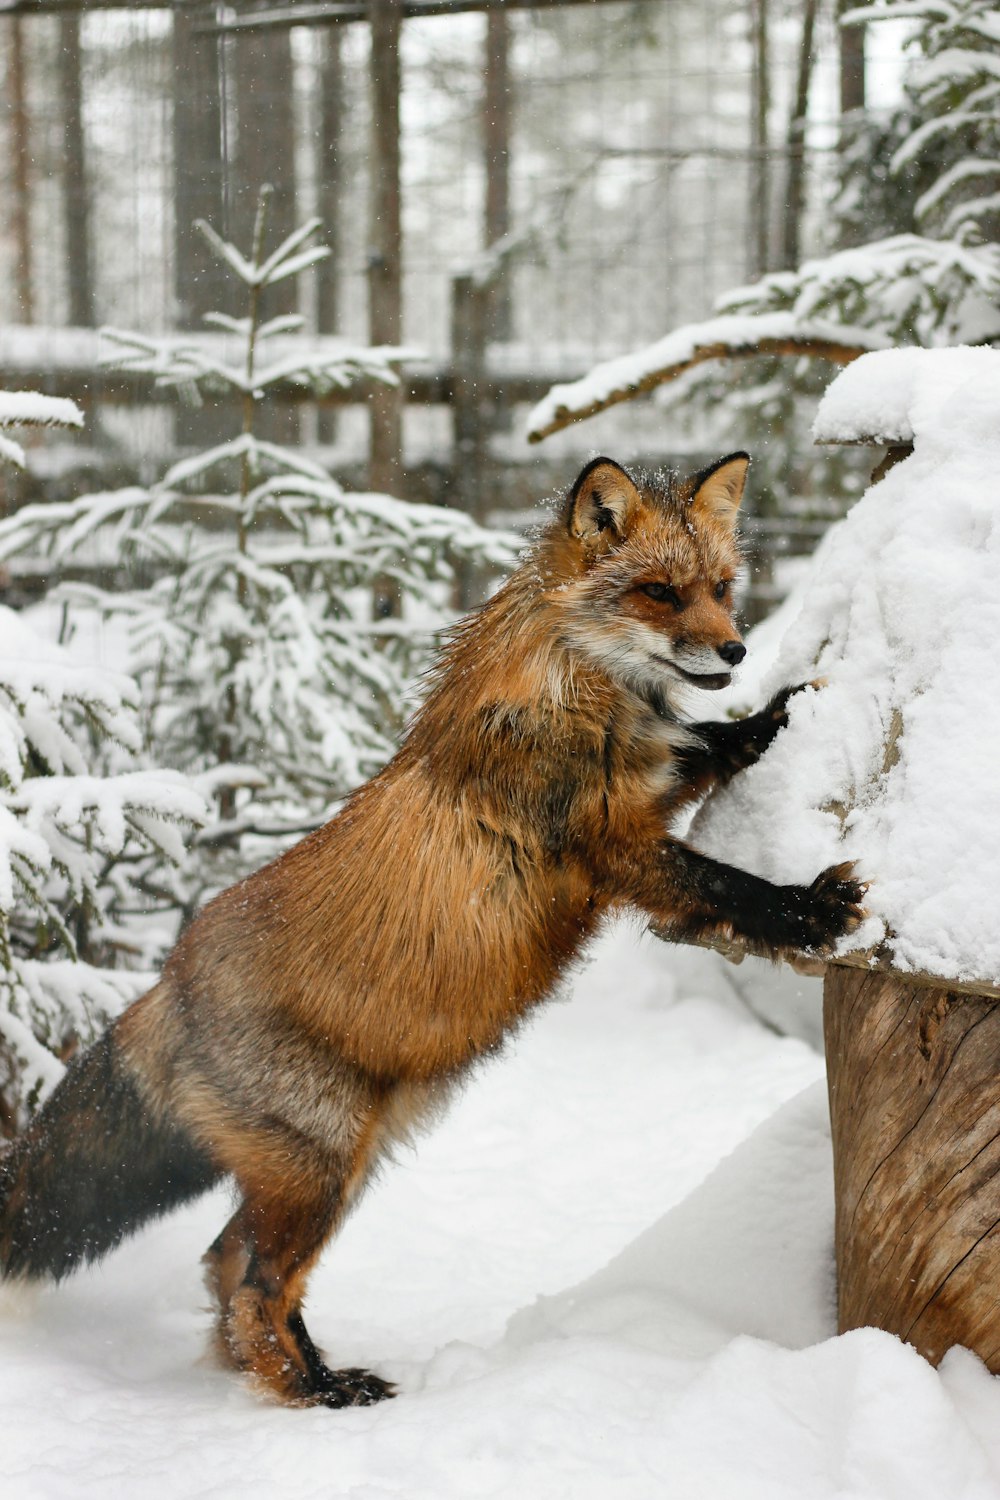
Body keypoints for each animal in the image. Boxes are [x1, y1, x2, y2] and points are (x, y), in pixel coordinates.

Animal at [0, 453, 863, 1404]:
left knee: (224, 1268)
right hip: (323, 1171)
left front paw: (780, 711)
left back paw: (294, 1376)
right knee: (255, 1290)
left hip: (338, 1167)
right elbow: (728, 884)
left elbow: (707, 743)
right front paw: (809, 909)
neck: (576, 692)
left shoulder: (641, 788)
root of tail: (166, 980)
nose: (738, 649)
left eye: (720, 589)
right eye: (659, 593)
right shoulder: (613, 850)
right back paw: (318, 1393)